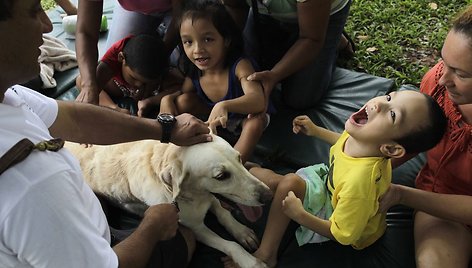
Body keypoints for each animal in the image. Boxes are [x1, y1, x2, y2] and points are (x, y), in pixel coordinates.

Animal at [67, 135, 272, 268]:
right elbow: (230, 245)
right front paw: (251, 262)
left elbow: (224, 213)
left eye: (239, 158)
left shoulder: (211, 198)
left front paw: (242, 232)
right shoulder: (195, 228)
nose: (269, 196)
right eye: (221, 176)